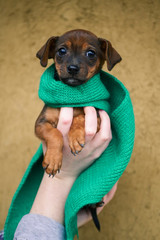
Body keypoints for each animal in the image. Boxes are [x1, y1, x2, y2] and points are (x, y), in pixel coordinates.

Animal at [35, 29, 121, 176]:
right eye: (62, 51)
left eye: (91, 53)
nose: (73, 68)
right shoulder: (41, 123)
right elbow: (54, 133)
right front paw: (53, 159)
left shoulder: (98, 117)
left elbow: (80, 117)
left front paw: (75, 138)